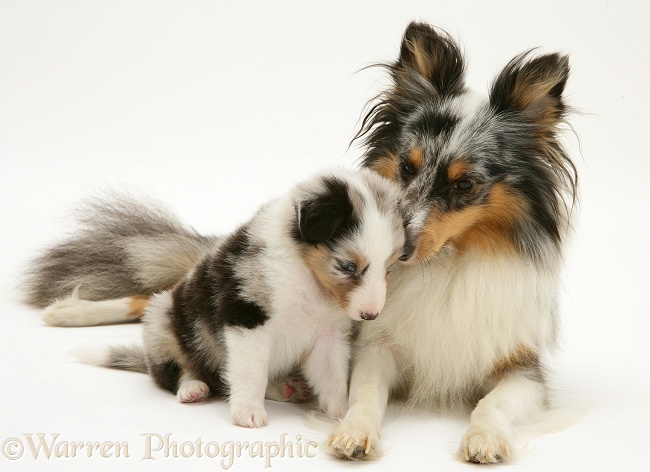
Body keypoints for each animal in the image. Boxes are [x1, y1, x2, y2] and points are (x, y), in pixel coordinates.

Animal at [40, 169, 402, 428]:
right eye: (347, 266)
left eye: (390, 268)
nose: (371, 316)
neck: (307, 277)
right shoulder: (246, 318)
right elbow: (250, 371)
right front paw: (248, 414)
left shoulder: (328, 334)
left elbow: (332, 378)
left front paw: (341, 413)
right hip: (162, 320)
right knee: (178, 372)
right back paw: (192, 388)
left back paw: (287, 388)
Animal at [326, 24, 576, 462]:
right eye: (406, 167)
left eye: (464, 185)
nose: (396, 253)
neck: (448, 262)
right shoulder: (377, 346)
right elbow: (365, 392)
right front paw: (354, 431)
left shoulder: (522, 369)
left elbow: (493, 402)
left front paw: (484, 438)